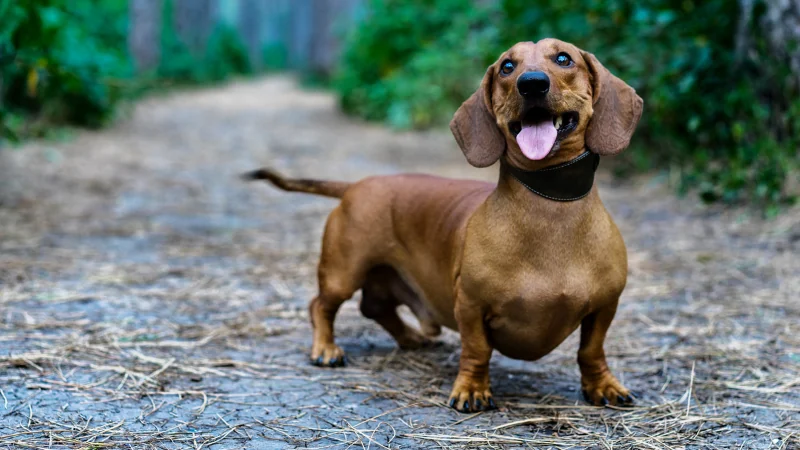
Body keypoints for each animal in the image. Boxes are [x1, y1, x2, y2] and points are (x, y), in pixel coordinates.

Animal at [245, 40, 644, 414]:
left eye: (564, 58)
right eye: (507, 66)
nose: (531, 83)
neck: (549, 205)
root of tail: (357, 185)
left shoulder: (605, 306)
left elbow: (591, 350)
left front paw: (603, 386)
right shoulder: (469, 304)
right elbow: (477, 350)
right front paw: (472, 390)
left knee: (375, 307)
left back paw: (410, 337)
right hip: (343, 272)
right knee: (321, 306)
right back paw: (326, 348)